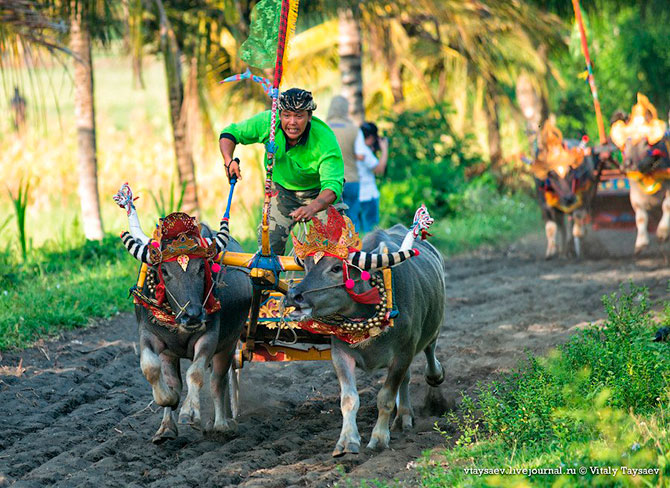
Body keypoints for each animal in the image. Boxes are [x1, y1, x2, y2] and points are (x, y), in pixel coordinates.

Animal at [114, 183, 253, 442]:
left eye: (200, 268)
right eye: (165, 271)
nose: (193, 316)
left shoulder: (210, 338)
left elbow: (196, 375)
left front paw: (190, 412)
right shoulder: (150, 336)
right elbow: (152, 370)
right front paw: (168, 406)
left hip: (229, 344)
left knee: (218, 381)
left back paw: (222, 423)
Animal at [284, 207, 446, 458]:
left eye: (336, 268)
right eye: (308, 267)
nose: (293, 296)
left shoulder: (403, 353)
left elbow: (385, 397)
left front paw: (378, 439)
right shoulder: (341, 355)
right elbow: (349, 399)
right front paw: (346, 441)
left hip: (432, 327)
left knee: (430, 351)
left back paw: (434, 378)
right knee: (407, 379)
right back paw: (403, 417)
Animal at [532, 119, 600, 260]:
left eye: (570, 171)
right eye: (552, 174)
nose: (569, 198)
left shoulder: (583, 198)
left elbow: (577, 224)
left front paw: (578, 243)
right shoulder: (544, 204)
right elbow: (551, 228)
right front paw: (552, 251)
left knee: (572, 223)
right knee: (563, 226)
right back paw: (564, 250)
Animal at [612, 92, 670, 255]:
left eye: (646, 142)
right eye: (626, 142)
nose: (627, 165)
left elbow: (666, 206)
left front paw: (662, 232)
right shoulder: (635, 197)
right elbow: (641, 218)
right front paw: (641, 243)